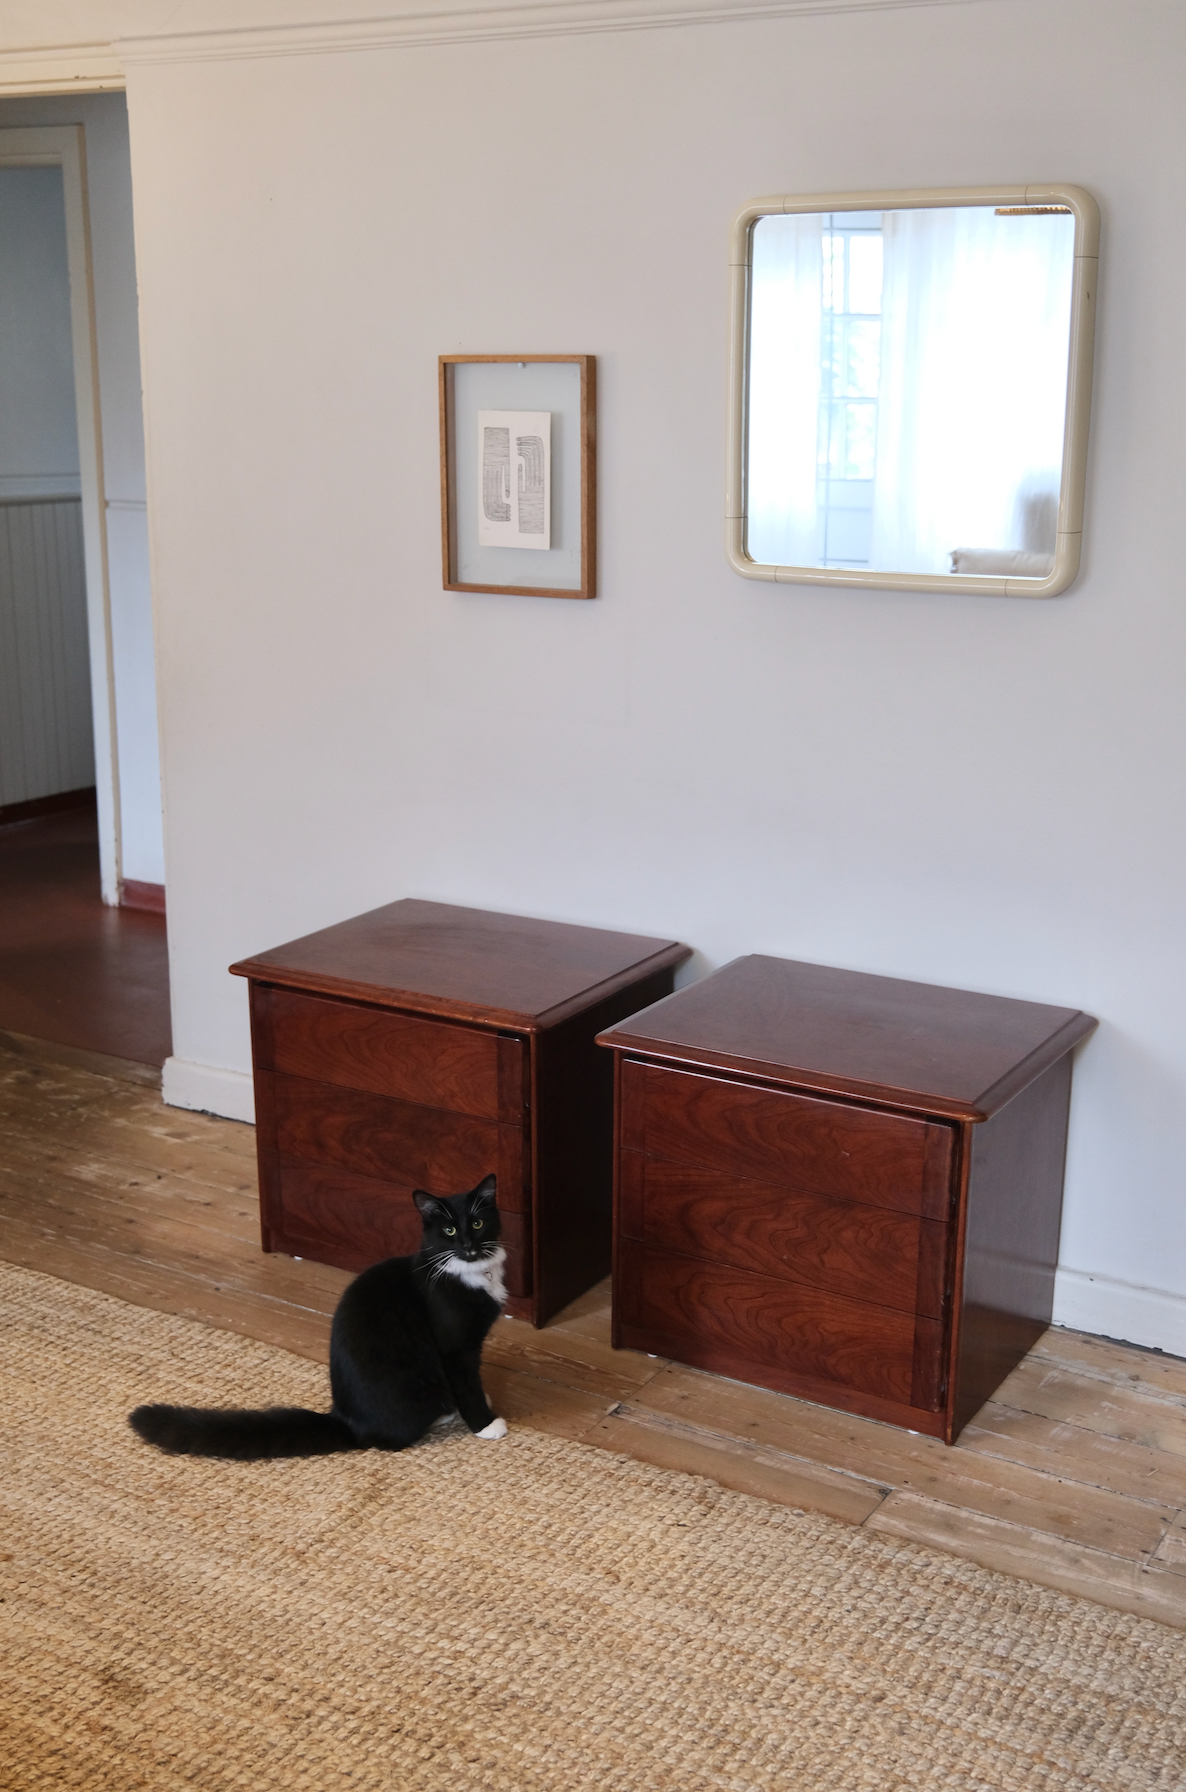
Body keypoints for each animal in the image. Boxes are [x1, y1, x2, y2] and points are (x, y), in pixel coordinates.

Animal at [131, 1175, 512, 1455]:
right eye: (449, 1230)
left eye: (478, 1223)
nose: (468, 1245)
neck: (472, 1274)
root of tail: (346, 1423)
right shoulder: (455, 1348)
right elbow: (467, 1385)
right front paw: (486, 1423)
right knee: (392, 1440)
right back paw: (443, 1413)